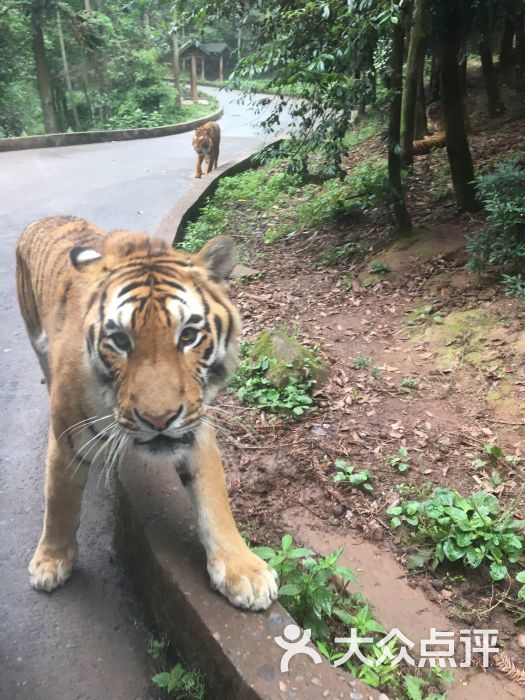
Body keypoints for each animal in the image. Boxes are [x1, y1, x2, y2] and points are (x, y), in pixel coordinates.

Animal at [15, 216, 278, 608]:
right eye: (120, 341)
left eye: (188, 335)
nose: (159, 420)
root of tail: (42, 218)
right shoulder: (66, 440)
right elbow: (59, 500)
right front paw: (50, 562)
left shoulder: (195, 425)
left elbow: (214, 497)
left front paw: (243, 570)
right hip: (35, 335)